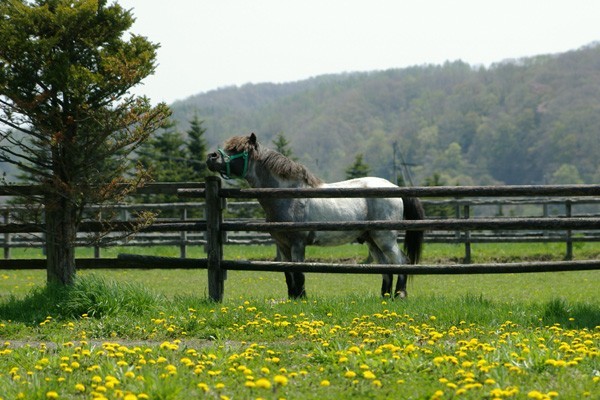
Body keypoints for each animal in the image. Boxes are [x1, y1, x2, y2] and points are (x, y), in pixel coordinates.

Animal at [209, 133, 424, 298]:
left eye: (237, 149)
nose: (211, 157)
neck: (289, 195)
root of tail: (395, 187)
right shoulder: (282, 246)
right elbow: (287, 273)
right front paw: (292, 298)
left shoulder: (297, 244)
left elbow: (299, 273)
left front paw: (302, 298)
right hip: (372, 240)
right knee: (386, 267)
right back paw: (385, 297)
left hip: (385, 238)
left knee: (401, 262)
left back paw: (400, 295)